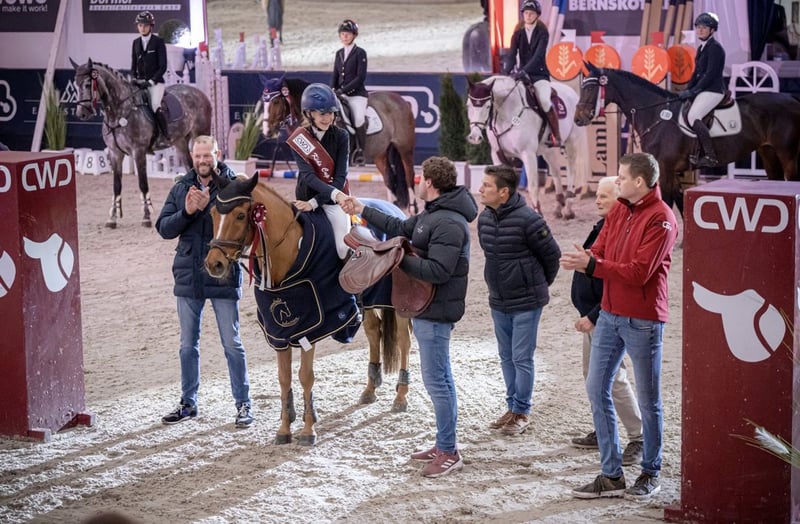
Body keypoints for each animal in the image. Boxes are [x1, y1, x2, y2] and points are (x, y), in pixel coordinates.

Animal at [71, 58, 211, 228]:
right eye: (75, 84)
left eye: (87, 84)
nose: (82, 114)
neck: (119, 112)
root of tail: (199, 92)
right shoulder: (115, 153)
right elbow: (116, 186)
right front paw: (112, 218)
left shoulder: (138, 151)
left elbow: (143, 184)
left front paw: (146, 217)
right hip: (180, 142)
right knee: (190, 167)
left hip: (200, 134)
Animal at [204, 173, 413, 445]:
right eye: (212, 214)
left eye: (240, 215)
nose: (214, 264)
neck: (287, 253)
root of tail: (395, 210)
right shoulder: (279, 332)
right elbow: (283, 378)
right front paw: (284, 430)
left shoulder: (310, 326)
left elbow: (305, 375)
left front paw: (307, 430)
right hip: (368, 301)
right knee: (373, 332)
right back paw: (370, 389)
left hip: (397, 303)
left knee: (403, 342)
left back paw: (401, 396)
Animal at [261, 77, 419, 214]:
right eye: (263, 103)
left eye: (276, 102)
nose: (266, 131)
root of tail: (400, 99)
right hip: (380, 153)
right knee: (389, 179)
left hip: (405, 149)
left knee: (409, 176)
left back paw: (413, 209)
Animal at [466, 76, 590, 219]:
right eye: (468, 105)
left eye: (487, 106)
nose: (474, 137)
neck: (507, 114)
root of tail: (572, 92)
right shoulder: (498, 154)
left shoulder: (528, 154)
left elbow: (533, 186)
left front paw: (537, 213)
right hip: (549, 150)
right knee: (556, 173)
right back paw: (559, 207)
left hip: (571, 142)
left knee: (571, 170)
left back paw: (569, 208)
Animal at [574, 62, 800, 212]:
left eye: (591, 87)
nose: (578, 118)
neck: (656, 114)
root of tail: (791, 98)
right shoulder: (671, 170)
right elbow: (679, 200)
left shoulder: (664, 168)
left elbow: (667, 200)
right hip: (768, 152)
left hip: (787, 155)